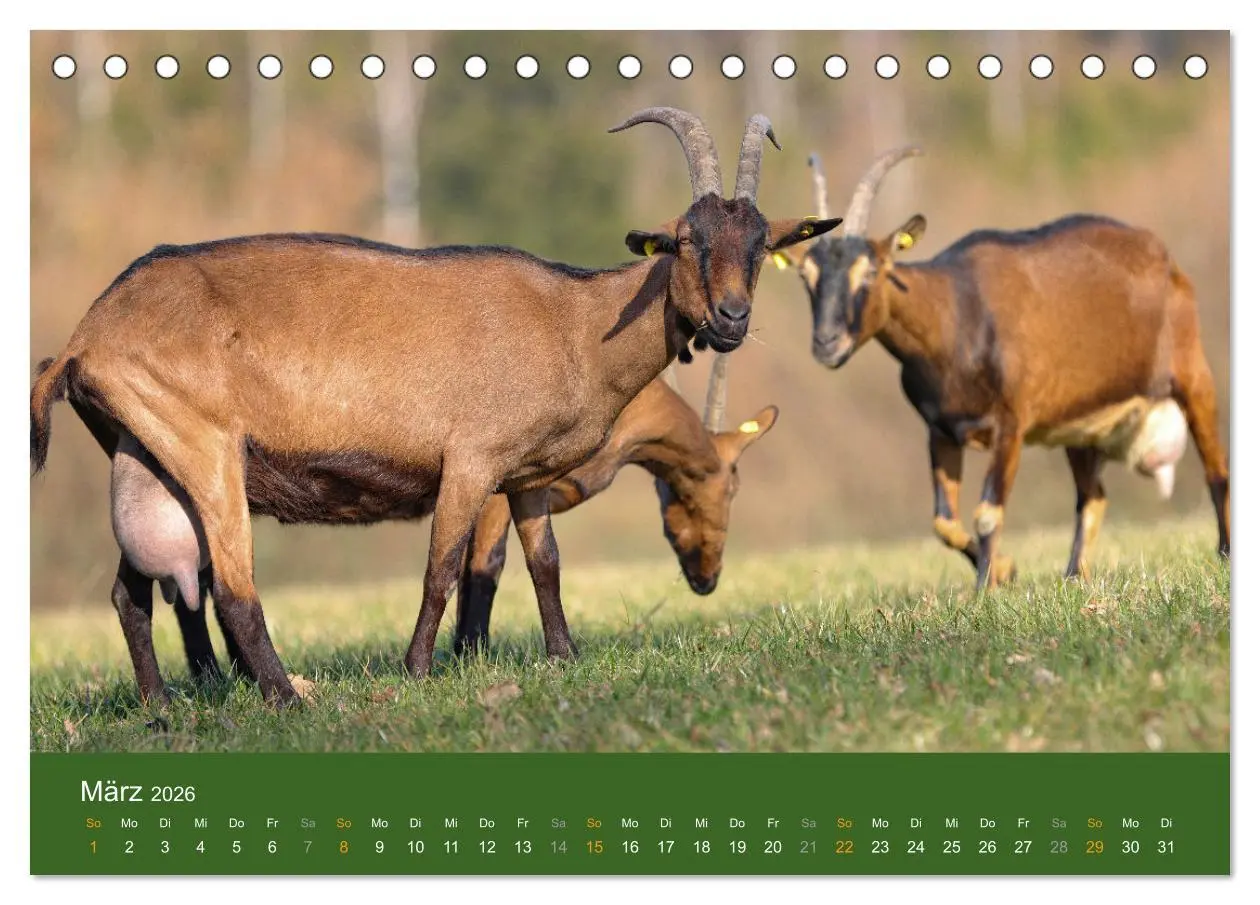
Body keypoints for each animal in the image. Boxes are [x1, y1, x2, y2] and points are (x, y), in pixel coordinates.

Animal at [30, 107, 838, 705]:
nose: (731, 318)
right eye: (684, 239)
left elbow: (544, 562)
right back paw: (287, 699)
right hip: (204, 449)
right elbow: (443, 565)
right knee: (230, 588)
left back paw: (163, 704)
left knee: (135, 590)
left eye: (760, 244)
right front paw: (420, 668)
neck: (576, 321)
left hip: (148, 455)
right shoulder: (471, 460)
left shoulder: (526, 476)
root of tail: (84, 337)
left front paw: (563, 656)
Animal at [775, 147, 1228, 588]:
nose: (827, 343)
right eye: (805, 275)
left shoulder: (1011, 423)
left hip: (1192, 375)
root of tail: (1164, 258)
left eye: (871, 270)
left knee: (1216, 471)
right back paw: (1073, 576)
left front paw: (985, 588)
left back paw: (1224, 553)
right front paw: (1003, 571)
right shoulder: (941, 430)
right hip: (1079, 425)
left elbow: (987, 512)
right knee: (1092, 495)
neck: (956, 316)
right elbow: (944, 521)